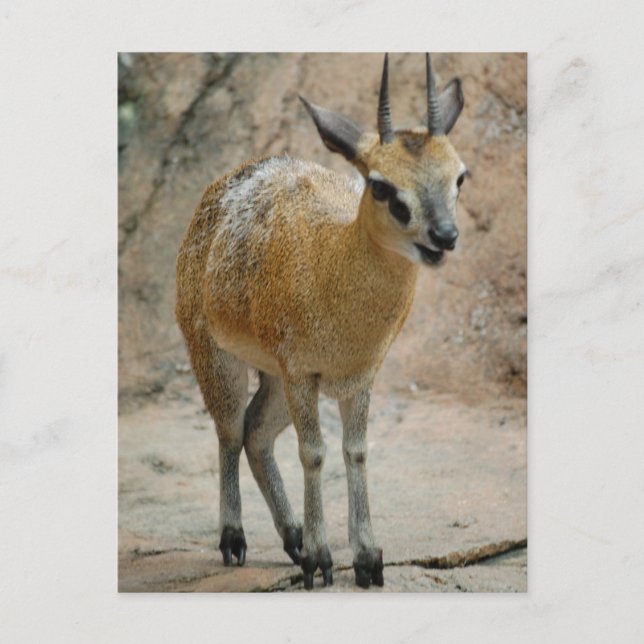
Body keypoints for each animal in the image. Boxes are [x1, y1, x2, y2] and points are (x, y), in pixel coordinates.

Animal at [175, 53, 467, 590]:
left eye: (460, 176)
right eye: (381, 185)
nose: (444, 235)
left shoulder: (359, 375)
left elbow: (356, 450)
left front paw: (367, 558)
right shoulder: (302, 372)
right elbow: (314, 452)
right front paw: (321, 558)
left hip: (272, 377)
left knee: (255, 431)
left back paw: (291, 538)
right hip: (217, 355)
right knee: (229, 430)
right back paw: (236, 540)